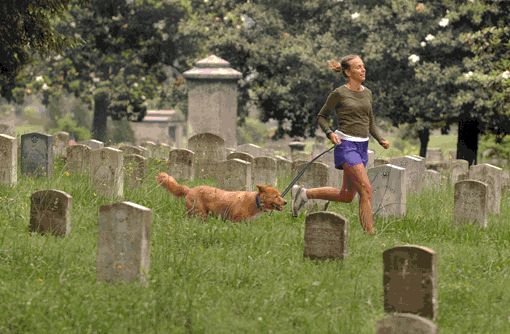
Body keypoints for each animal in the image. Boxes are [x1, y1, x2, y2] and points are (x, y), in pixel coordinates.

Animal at [155, 172, 286, 222]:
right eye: (276, 196)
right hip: (201, 214)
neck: (256, 201)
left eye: (279, 195)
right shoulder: (235, 222)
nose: (285, 202)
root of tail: (189, 189)